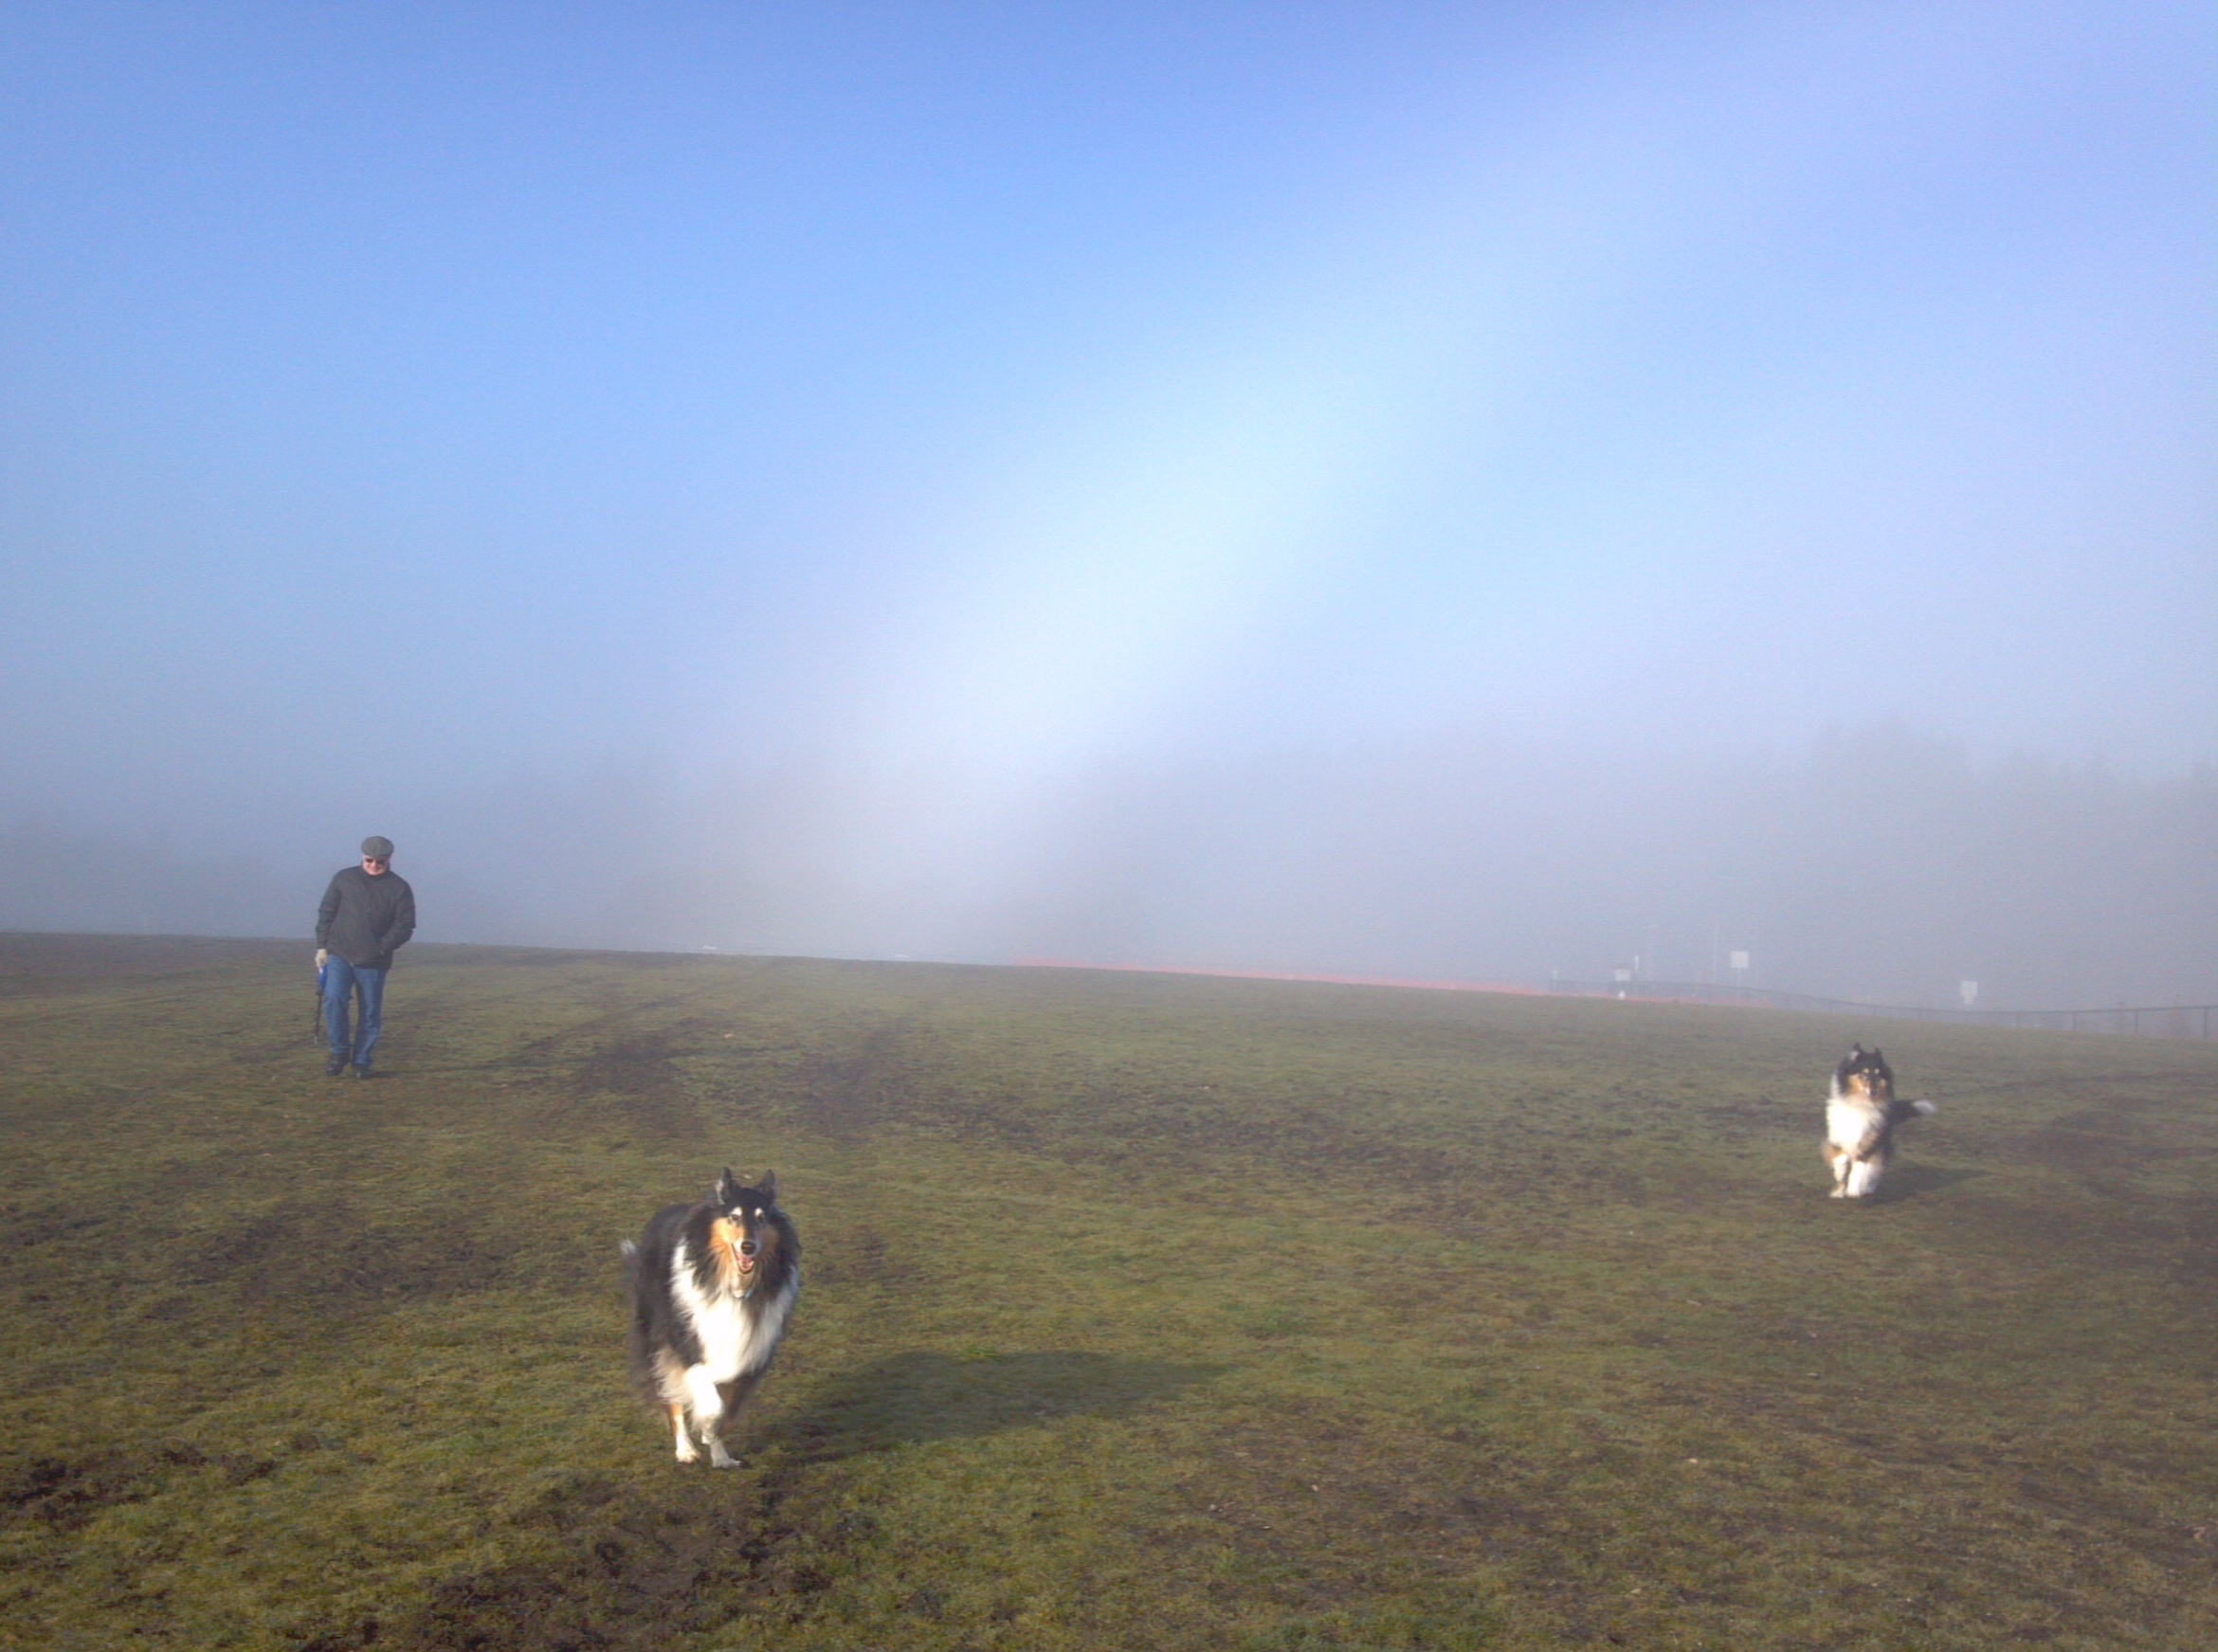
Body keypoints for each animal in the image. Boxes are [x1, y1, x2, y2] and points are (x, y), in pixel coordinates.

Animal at [621, 1171, 803, 1463]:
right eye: (734, 1216)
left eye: (762, 1218)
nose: (748, 1247)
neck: (733, 1285)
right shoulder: (690, 1345)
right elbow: (712, 1405)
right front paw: (705, 1432)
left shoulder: (750, 1355)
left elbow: (729, 1414)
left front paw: (716, 1442)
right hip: (656, 1339)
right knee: (671, 1398)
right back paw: (686, 1450)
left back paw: (721, 1458)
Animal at [1827, 1042, 1934, 1197]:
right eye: (1864, 1073)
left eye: (1878, 1074)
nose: (1874, 1092)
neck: (1861, 1104)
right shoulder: (1839, 1136)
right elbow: (1841, 1157)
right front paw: (1840, 1176)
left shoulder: (1869, 1141)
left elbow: (1859, 1167)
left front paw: (1854, 1189)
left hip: (1882, 1145)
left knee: (1874, 1168)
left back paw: (1866, 1187)